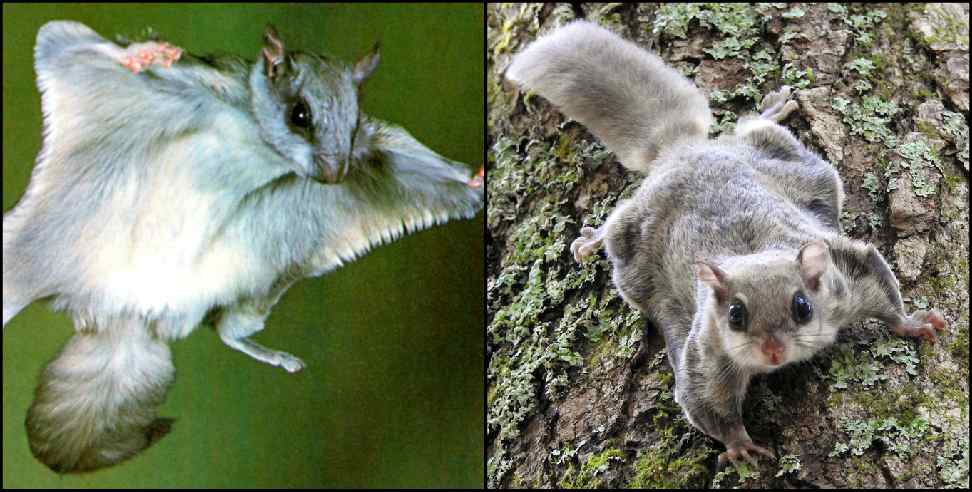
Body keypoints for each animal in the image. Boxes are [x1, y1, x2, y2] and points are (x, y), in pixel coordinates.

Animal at [1, 22, 484, 472]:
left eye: (352, 124)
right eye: (300, 114)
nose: (334, 175)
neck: (257, 140)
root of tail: (121, 311)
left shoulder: (372, 144)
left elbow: (407, 152)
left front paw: (474, 178)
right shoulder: (201, 81)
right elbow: (57, 41)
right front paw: (144, 53)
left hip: (258, 273)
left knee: (227, 330)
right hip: (30, 247)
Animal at [504, 20, 944, 466]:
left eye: (802, 307)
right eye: (735, 315)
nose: (773, 352)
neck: (753, 254)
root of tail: (682, 149)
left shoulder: (846, 275)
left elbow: (880, 288)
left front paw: (912, 323)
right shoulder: (707, 355)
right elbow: (705, 403)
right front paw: (739, 445)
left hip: (789, 161)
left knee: (751, 128)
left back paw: (772, 108)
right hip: (632, 232)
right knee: (617, 220)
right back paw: (592, 239)